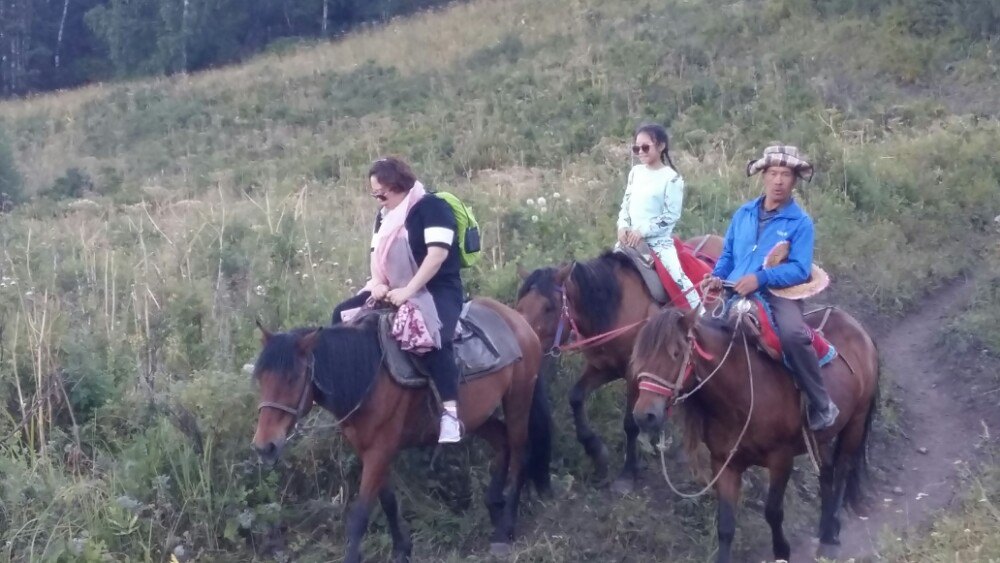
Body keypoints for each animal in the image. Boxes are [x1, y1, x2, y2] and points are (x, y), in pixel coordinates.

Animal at [249, 298, 548, 560]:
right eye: (261, 378)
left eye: (293, 378)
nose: (265, 446)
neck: (369, 374)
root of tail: (518, 320)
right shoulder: (370, 450)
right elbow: (388, 501)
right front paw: (403, 549)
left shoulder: (380, 449)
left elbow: (361, 514)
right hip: (477, 415)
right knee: (502, 442)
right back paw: (494, 504)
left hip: (519, 400)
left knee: (519, 452)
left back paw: (504, 529)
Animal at [512, 232, 724, 490]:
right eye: (520, 306)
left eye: (548, 307)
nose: (524, 344)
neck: (614, 308)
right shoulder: (603, 367)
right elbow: (576, 397)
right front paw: (597, 452)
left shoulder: (634, 374)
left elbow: (630, 422)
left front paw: (627, 474)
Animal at [628, 302, 880, 560]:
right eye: (640, 355)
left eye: (676, 353)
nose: (644, 415)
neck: (742, 393)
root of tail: (857, 328)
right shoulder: (724, 464)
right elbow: (725, 525)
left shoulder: (781, 460)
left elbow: (773, 512)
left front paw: (782, 551)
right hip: (820, 437)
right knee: (827, 471)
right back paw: (825, 530)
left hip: (856, 422)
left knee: (842, 471)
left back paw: (830, 536)